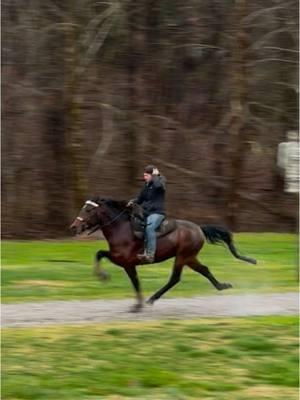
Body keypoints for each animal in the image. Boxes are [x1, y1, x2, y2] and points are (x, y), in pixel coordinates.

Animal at [69, 197, 256, 312]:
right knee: (204, 270)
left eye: (88, 210)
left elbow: (135, 283)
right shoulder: (117, 257)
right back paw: (222, 286)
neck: (121, 230)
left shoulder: (128, 263)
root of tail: (198, 228)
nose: (73, 227)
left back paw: (152, 298)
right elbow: (99, 254)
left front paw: (137, 305)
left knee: (175, 278)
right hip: (190, 257)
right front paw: (103, 276)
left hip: (182, 257)